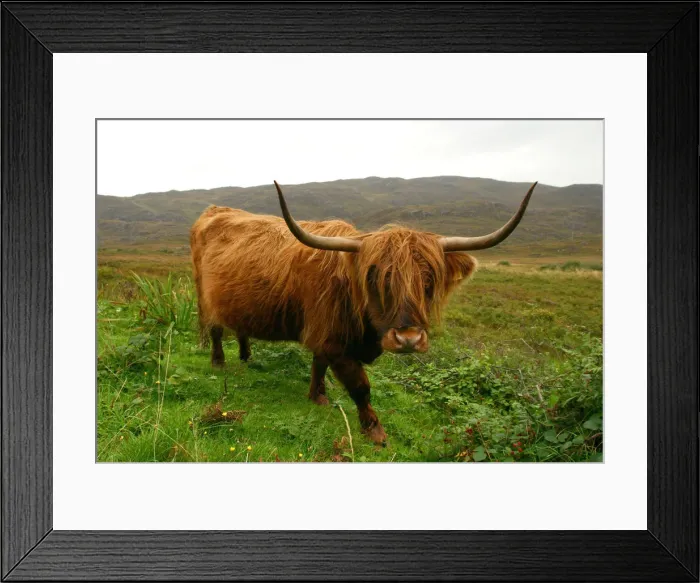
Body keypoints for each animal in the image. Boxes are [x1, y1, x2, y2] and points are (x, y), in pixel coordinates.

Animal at [190, 180, 538, 443]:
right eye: (375, 278)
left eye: (428, 281)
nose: (408, 339)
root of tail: (213, 211)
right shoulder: (333, 340)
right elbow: (360, 386)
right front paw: (374, 430)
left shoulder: (326, 334)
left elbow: (318, 365)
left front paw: (318, 396)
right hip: (204, 295)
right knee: (215, 328)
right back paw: (219, 361)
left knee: (239, 326)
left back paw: (246, 356)